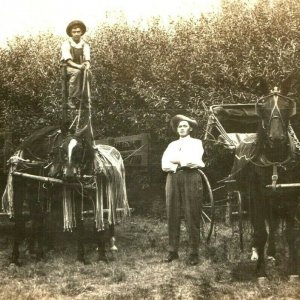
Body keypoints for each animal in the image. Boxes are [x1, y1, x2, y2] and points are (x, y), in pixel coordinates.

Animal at [2, 124, 129, 264]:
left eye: (79, 150)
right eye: (61, 149)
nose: (67, 175)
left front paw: (101, 256)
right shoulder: (25, 195)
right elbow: (26, 223)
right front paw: (19, 257)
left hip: (109, 196)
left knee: (109, 217)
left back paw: (112, 244)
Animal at [232, 85, 300, 278]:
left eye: (287, 107)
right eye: (262, 108)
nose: (276, 139)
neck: (275, 160)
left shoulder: (291, 195)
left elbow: (290, 233)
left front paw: (293, 271)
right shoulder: (257, 195)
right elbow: (260, 231)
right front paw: (261, 271)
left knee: (272, 223)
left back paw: (271, 253)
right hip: (249, 197)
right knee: (258, 224)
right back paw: (257, 253)